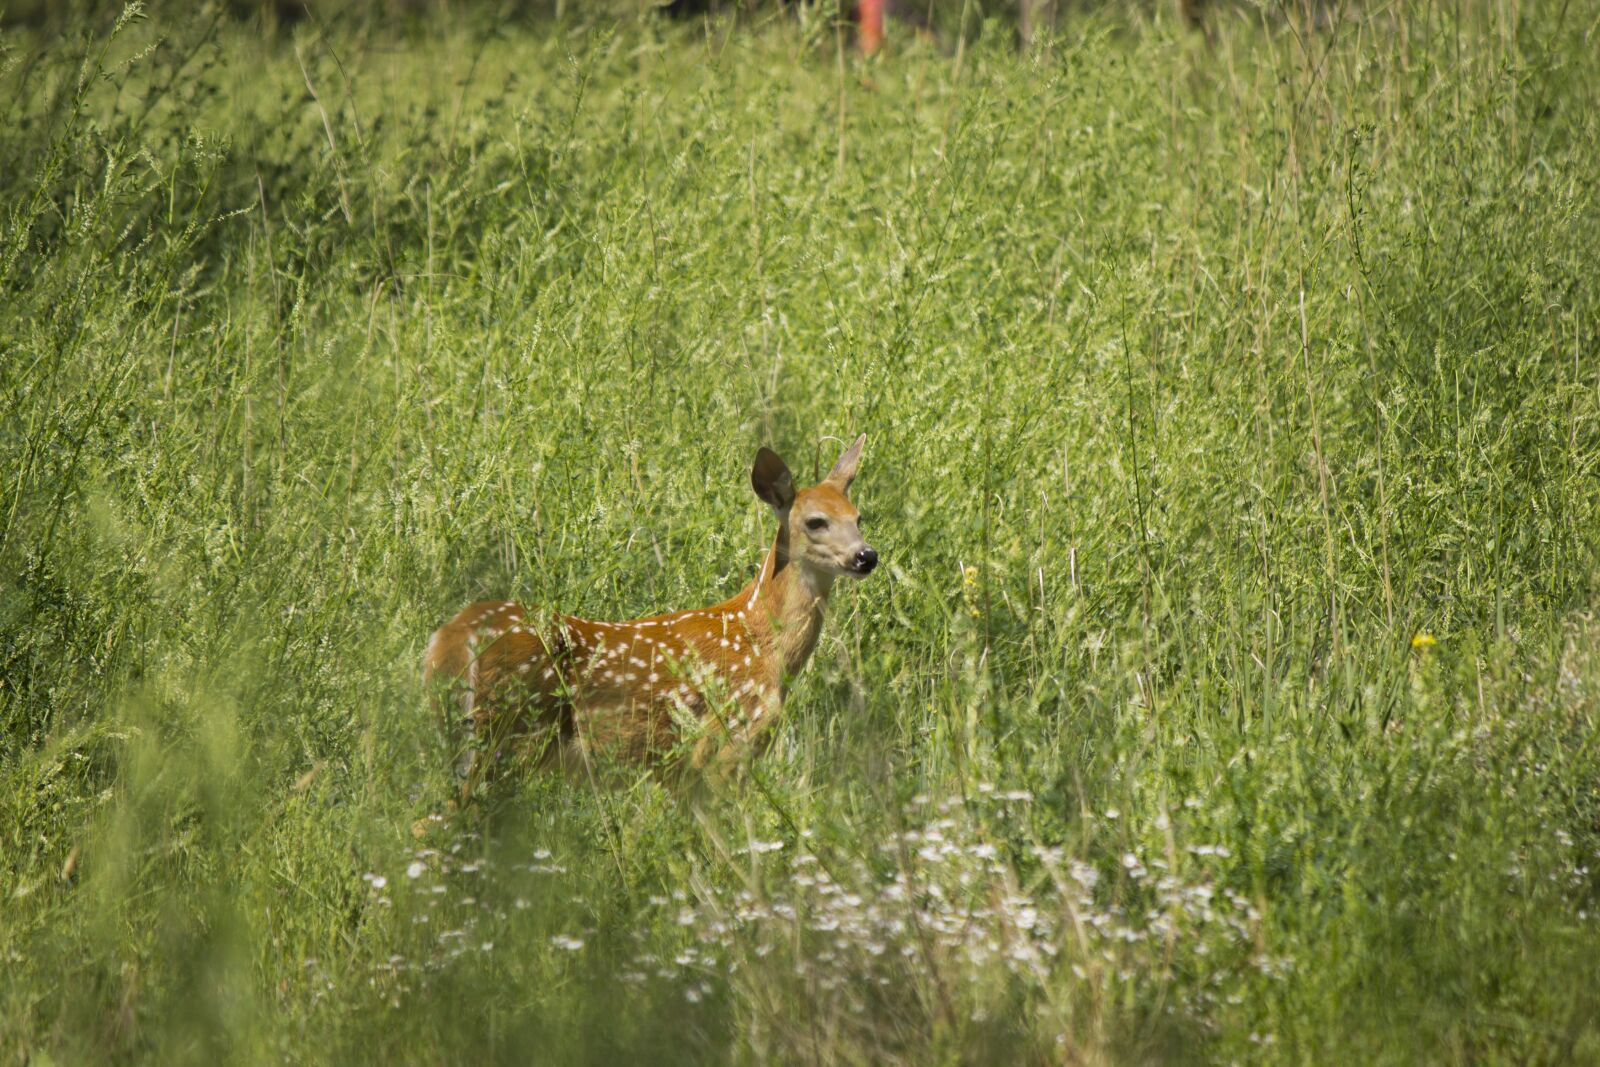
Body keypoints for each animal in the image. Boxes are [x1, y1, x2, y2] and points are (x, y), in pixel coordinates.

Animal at [422, 435, 877, 793]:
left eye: (859, 518)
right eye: (816, 522)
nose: (866, 556)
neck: (761, 643)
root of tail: (449, 640)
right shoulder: (724, 744)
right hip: (508, 734)